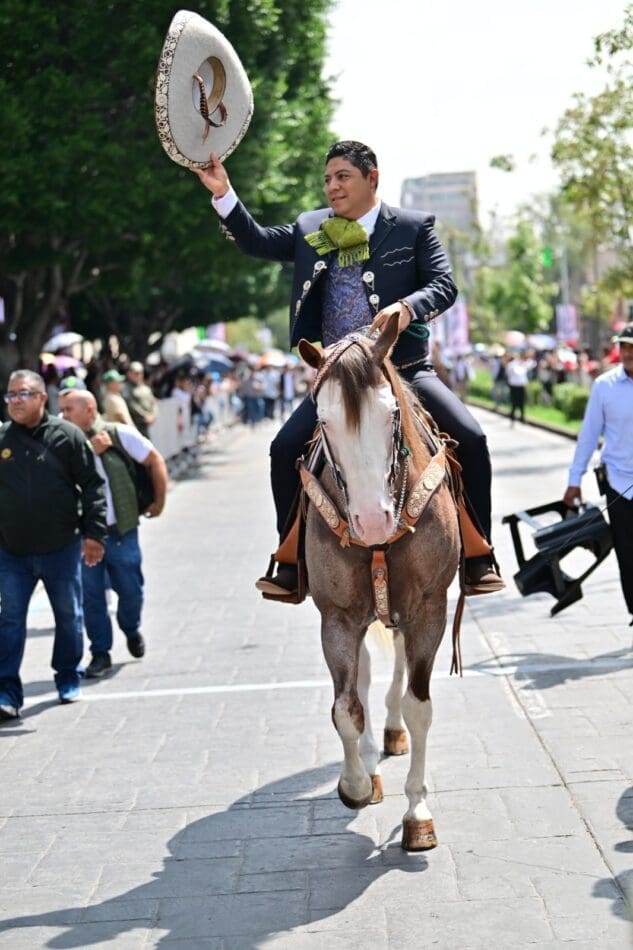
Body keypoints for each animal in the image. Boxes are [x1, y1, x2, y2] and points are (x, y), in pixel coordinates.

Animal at [297, 313, 461, 851]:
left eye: (390, 415)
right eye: (324, 422)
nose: (371, 521)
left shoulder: (429, 608)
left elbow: (419, 706)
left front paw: (418, 813)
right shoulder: (337, 617)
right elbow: (346, 708)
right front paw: (355, 784)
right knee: (367, 677)